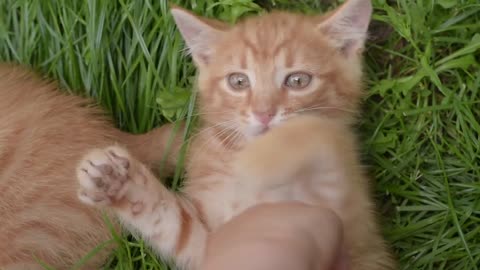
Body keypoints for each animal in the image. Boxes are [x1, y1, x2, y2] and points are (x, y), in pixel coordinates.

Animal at [78, 0, 394, 268]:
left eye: (298, 80)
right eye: (238, 81)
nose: (264, 113)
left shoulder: (346, 216)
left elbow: (319, 145)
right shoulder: (211, 244)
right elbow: (172, 222)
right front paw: (117, 179)